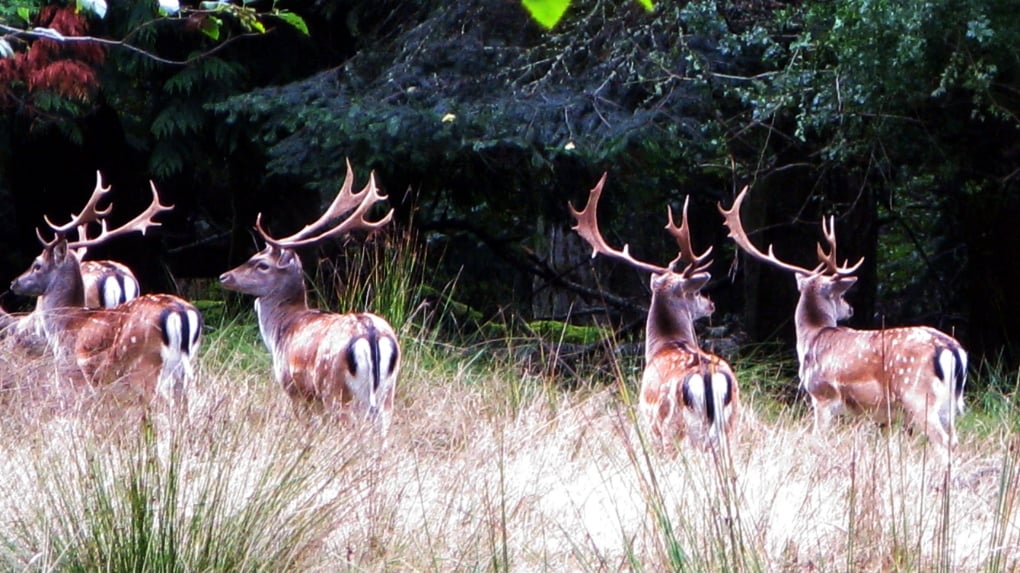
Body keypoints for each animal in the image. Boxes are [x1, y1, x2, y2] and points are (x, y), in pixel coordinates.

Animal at [8, 182, 201, 405]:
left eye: (37, 265)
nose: (14, 283)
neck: (64, 324)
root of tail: (181, 313)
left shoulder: (73, 367)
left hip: (145, 364)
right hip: (185, 366)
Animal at [220, 161, 401, 432]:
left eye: (262, 264)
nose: (225, 276)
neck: (281, 330)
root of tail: (370, 334)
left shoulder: (293, 388)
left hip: (335, 390)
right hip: (387, 394)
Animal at [567, 171, 742, 448]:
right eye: (695, 292)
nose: (711, 304)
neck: (664, 345)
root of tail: (707, 379)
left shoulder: (650, 425)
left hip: (671, 426)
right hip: (731, 422)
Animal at [714, 185, 966, 452]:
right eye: (841, 296)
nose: (850, 309)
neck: (811, 339)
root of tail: (952, 349)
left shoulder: (821, 395)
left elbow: (818, 437)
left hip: (917, 393)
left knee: (943, 440)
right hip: (949, 404)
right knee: (954, 440)